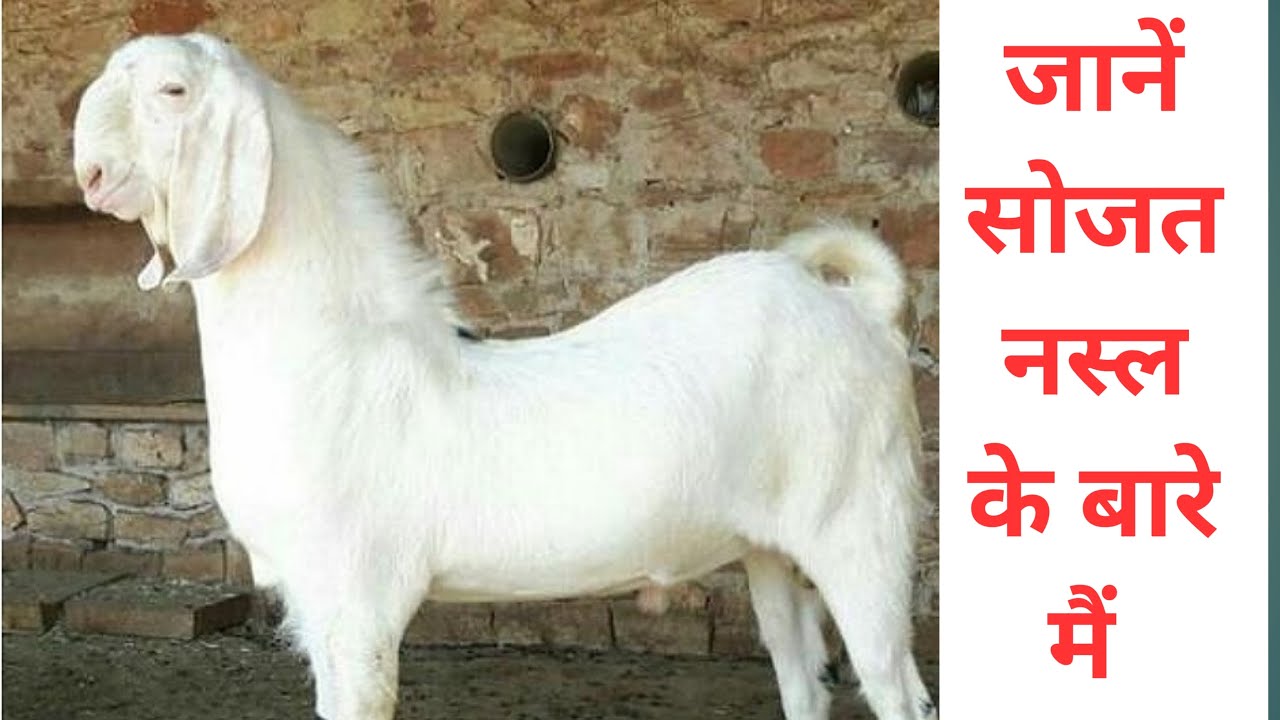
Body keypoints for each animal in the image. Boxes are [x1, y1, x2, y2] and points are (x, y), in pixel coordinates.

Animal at [72, 33, 936, 720]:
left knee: (897, 688)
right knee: (803, 680)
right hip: (771, 548)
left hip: (863, 527)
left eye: (173, 90)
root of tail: (862, 309)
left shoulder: (355, 602)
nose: (89, 173)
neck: (337, 357)